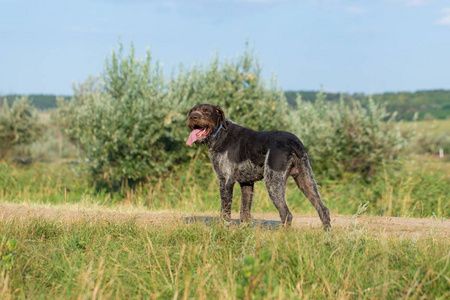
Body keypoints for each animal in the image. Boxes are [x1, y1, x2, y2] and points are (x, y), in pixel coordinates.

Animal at [186, 103, 330, 230]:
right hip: (306, 181)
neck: (220, 134)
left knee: (286, 214)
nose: (193, 117)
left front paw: (223, 230)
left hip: (273, 183)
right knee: (323, 210)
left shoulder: (226, 181)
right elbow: (245, 212)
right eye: (192, 110)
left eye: (206, 111)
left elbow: (225, 211)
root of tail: (293, 142)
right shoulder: (247, 183)